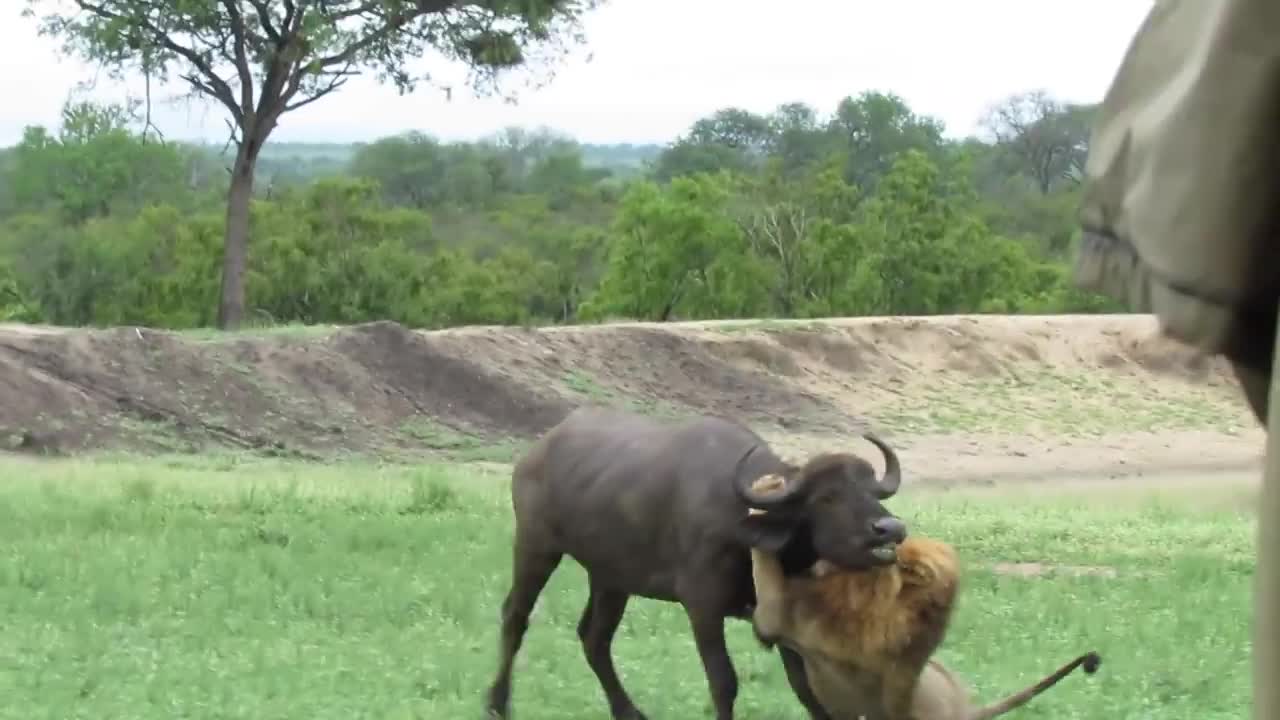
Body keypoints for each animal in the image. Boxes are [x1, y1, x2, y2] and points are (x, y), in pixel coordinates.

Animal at [481, 404, 911, 717]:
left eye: (873, 490)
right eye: (827, 497)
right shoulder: (702, 606)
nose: (890, 528)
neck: (744, 528)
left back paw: (628, 711)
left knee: (594, 638)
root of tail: (536, 452)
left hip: (610, 578)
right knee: (515, 616)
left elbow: (805, 685)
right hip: (536, 546)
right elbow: (723, 680)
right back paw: (497, 702)